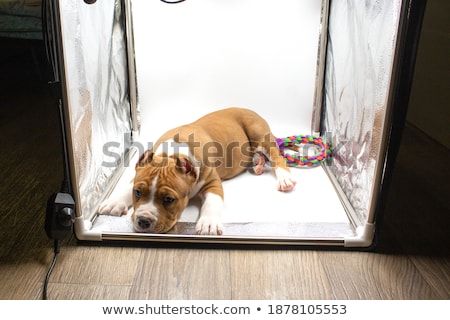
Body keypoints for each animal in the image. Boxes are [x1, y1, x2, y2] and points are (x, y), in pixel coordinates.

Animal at [98, 107, 296, 235]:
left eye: (169, 200)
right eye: (137, 192)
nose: (144, 220)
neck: (172, 154)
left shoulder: (213, 183)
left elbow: (212, 202)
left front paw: (208, 223)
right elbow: (126, 185)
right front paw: (114, 202)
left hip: (258, 134)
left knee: (276, 157)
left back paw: (284, 179)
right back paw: (258, 164)